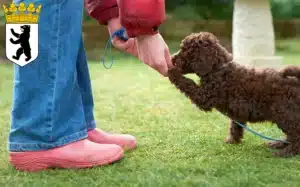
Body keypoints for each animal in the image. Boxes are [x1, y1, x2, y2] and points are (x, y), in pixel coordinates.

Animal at [168, 31, 300, 157]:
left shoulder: (206, 96)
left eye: (185, 50)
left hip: (284, 113)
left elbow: (188, 83)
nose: (171, 59)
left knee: (296, 134)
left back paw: (286, 152)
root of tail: (296, 81)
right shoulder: (237, 112)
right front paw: (232, 141)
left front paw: (172, 71)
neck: (218, 68)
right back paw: (278, 144)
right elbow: (235, 126)